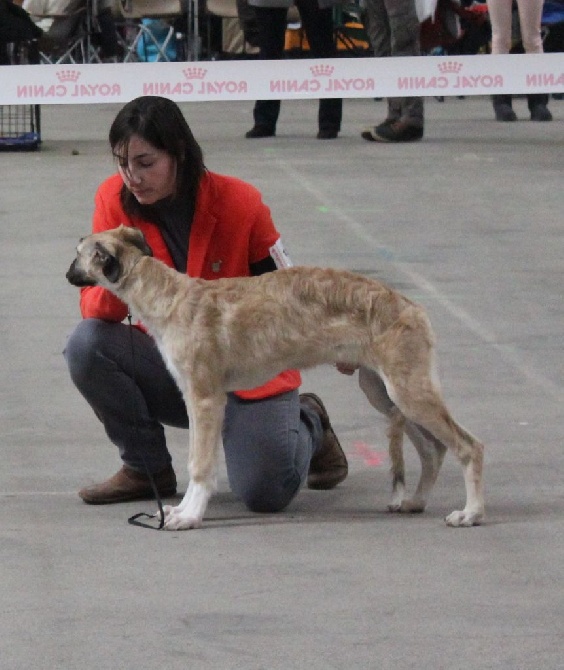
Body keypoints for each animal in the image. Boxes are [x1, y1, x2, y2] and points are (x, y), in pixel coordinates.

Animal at [64, 226, 482, 532]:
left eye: (79, 252)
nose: (67, 274)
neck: (171, 297)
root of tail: (412, 307)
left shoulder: (205, 398)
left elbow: (200, 465)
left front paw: (189, 515)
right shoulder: (193, 398)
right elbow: (195, 458)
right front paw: (179, 510)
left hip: (409, 391)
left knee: (469, 446)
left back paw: (471, 513)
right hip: (383, 392)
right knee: (433, 449)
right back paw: (415, 501)